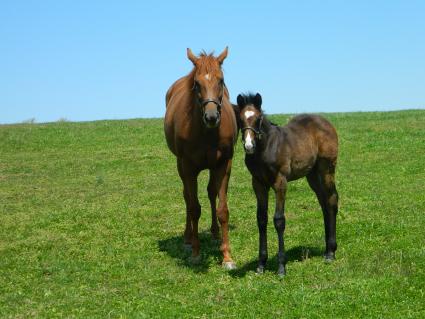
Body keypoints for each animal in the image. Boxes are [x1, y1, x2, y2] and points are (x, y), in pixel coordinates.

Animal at [163, 48, 237, 270]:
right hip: (180, 165)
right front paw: (196, 253)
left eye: (221, 80)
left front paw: (227, 256)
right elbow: (194, 207)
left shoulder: (223, 164)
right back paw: (188, 239)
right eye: (197, 83)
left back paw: (214, 233)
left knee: (211, 192)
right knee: (187, 198)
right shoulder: (188, 167)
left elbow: (222, 209)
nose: (211, 117)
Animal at [232, 94, 338, 276]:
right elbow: (261, 219)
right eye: (240, 118)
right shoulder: (258, 183)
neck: (266, 148)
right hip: (312, 175)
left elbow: (279, 220)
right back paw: (326, 249)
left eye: (258, 118)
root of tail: (326, 123)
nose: (249, 145)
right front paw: (261, 264)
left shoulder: (280, 182)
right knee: (324, 203)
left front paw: (281, 266)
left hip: (327, 169)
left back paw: (331, 252)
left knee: (332, 200)